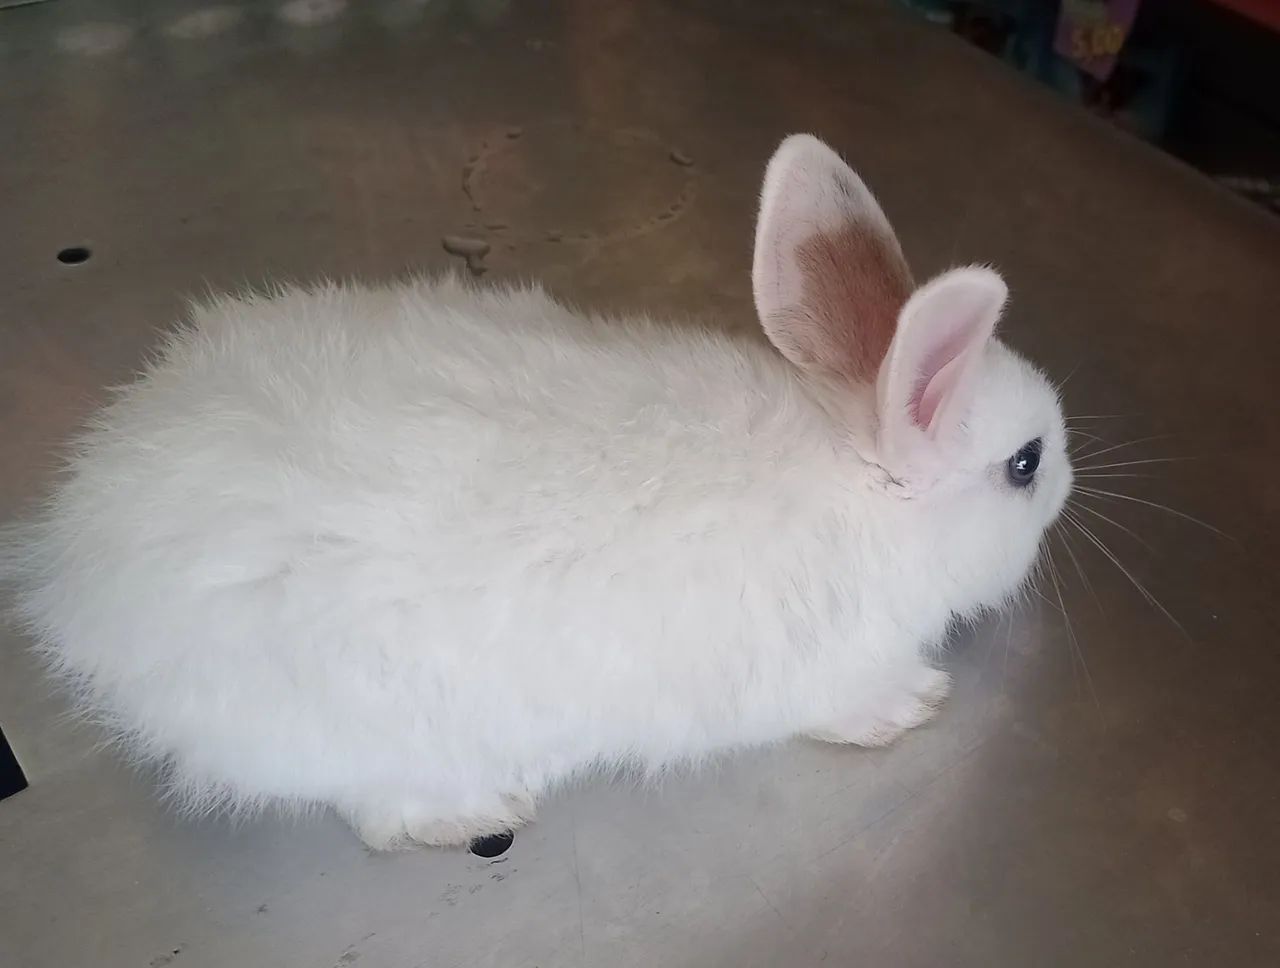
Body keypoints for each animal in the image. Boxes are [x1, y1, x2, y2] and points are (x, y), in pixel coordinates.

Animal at [4, 134, 1072, 849]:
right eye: (1025, 463)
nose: (1065, 479)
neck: (857, 482)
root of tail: (82, 565)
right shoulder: (815, 664)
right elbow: (844, 701)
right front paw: (909, 705)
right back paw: (468, 810)